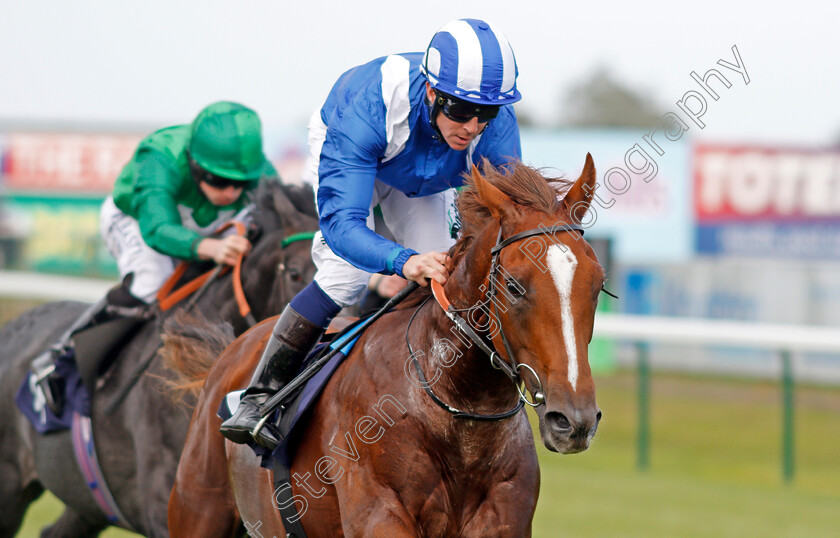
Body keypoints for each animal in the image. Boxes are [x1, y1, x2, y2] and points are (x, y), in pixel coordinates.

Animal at [167, 153, 608, 532]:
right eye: (515, 286)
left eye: (598, 284)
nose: (574, 421)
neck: (459, 413)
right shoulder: (381, 513)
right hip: (198, 507)